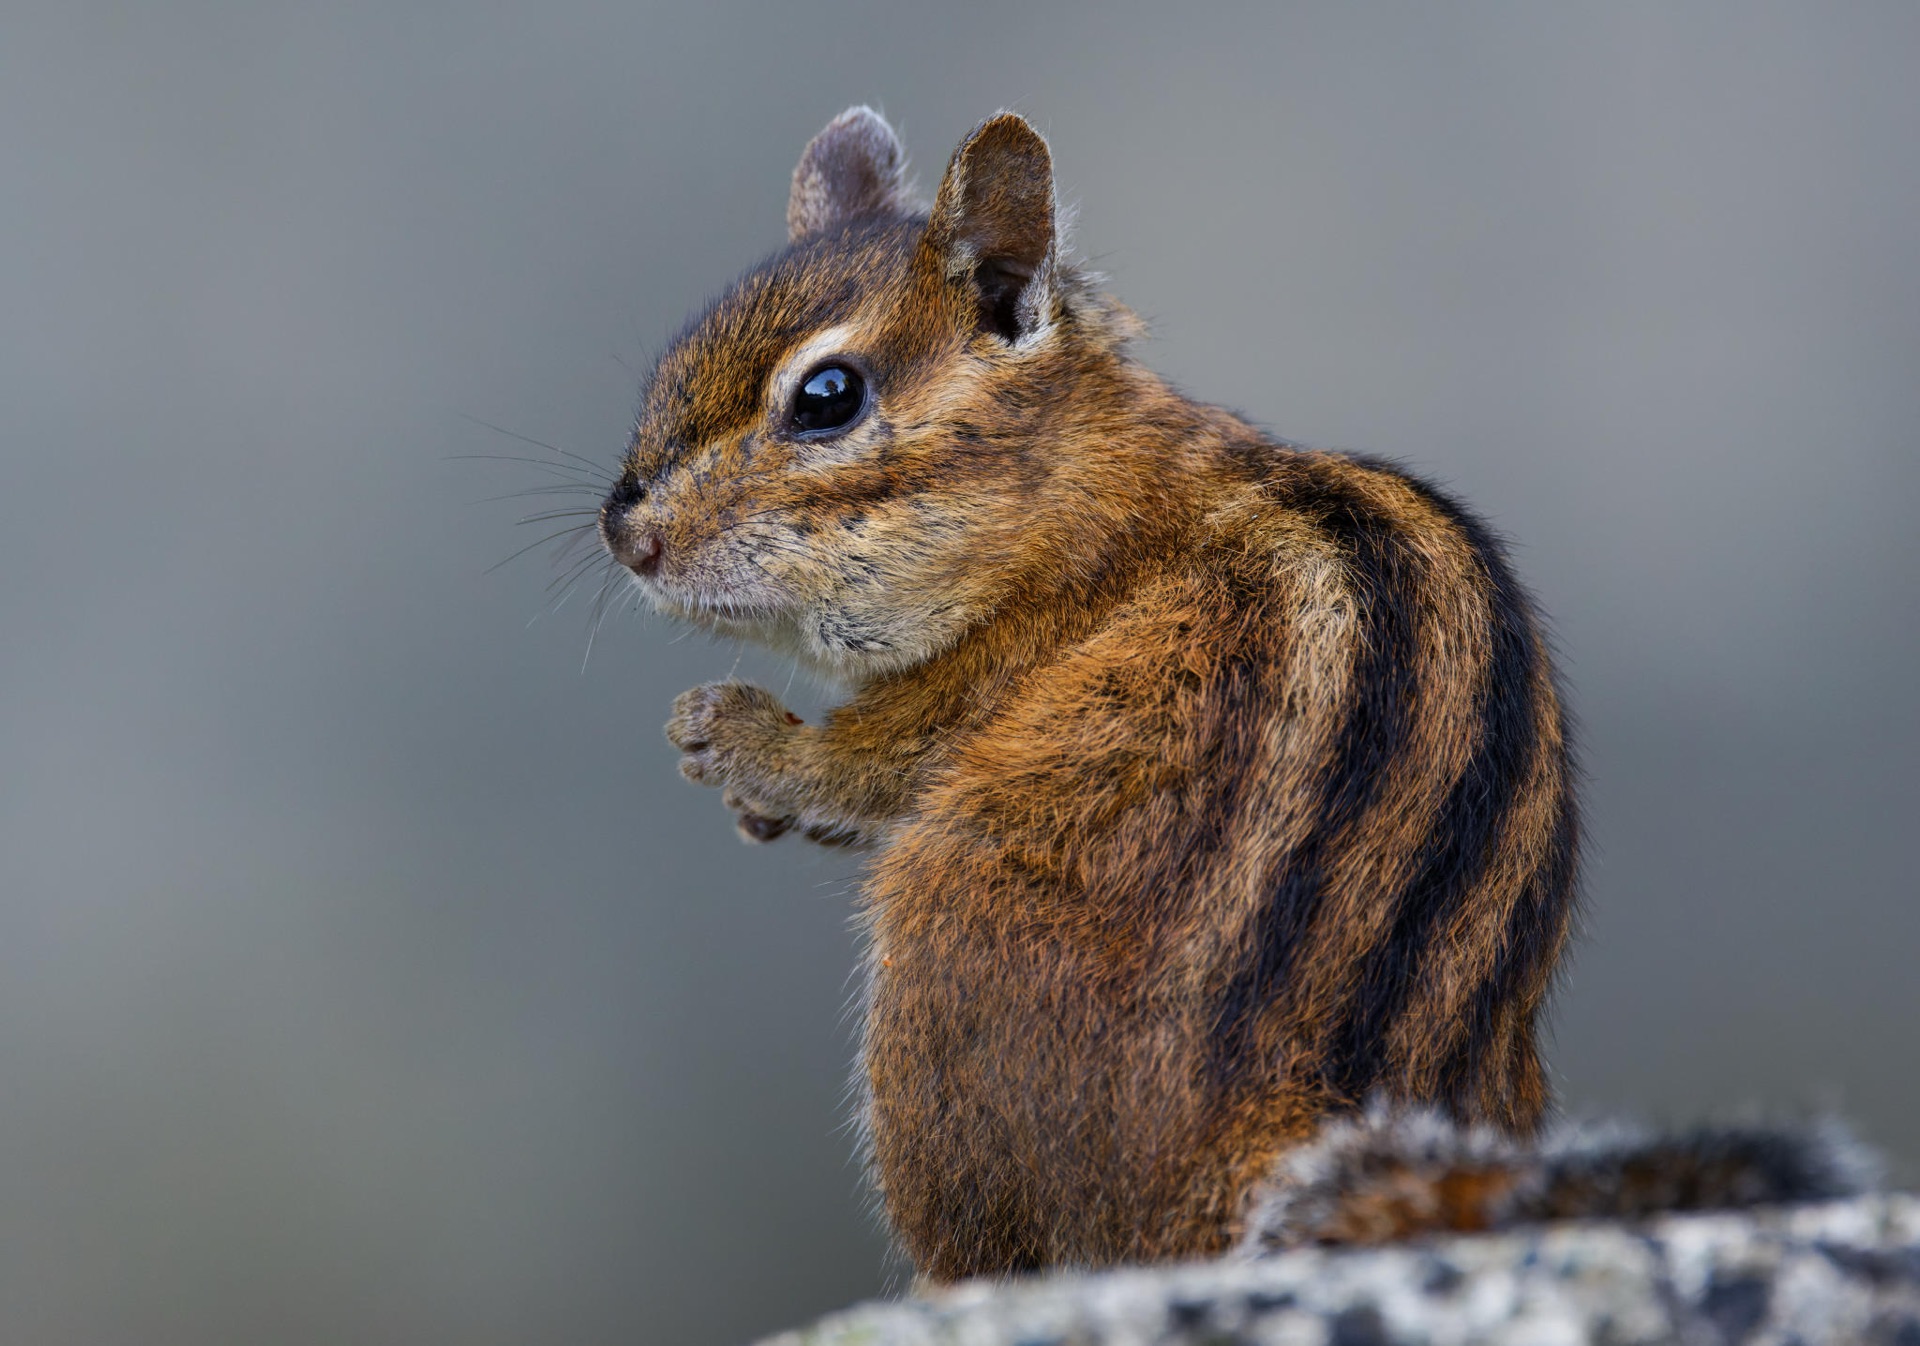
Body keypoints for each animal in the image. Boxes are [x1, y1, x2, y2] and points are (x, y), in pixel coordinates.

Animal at [595, 107, 1874, 1281]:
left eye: (827, 396)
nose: (627, 532)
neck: (1082, 490)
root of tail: (1251, 1147)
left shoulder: (992, 669)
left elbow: (869, 763)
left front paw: (736, 738)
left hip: (933, 977)